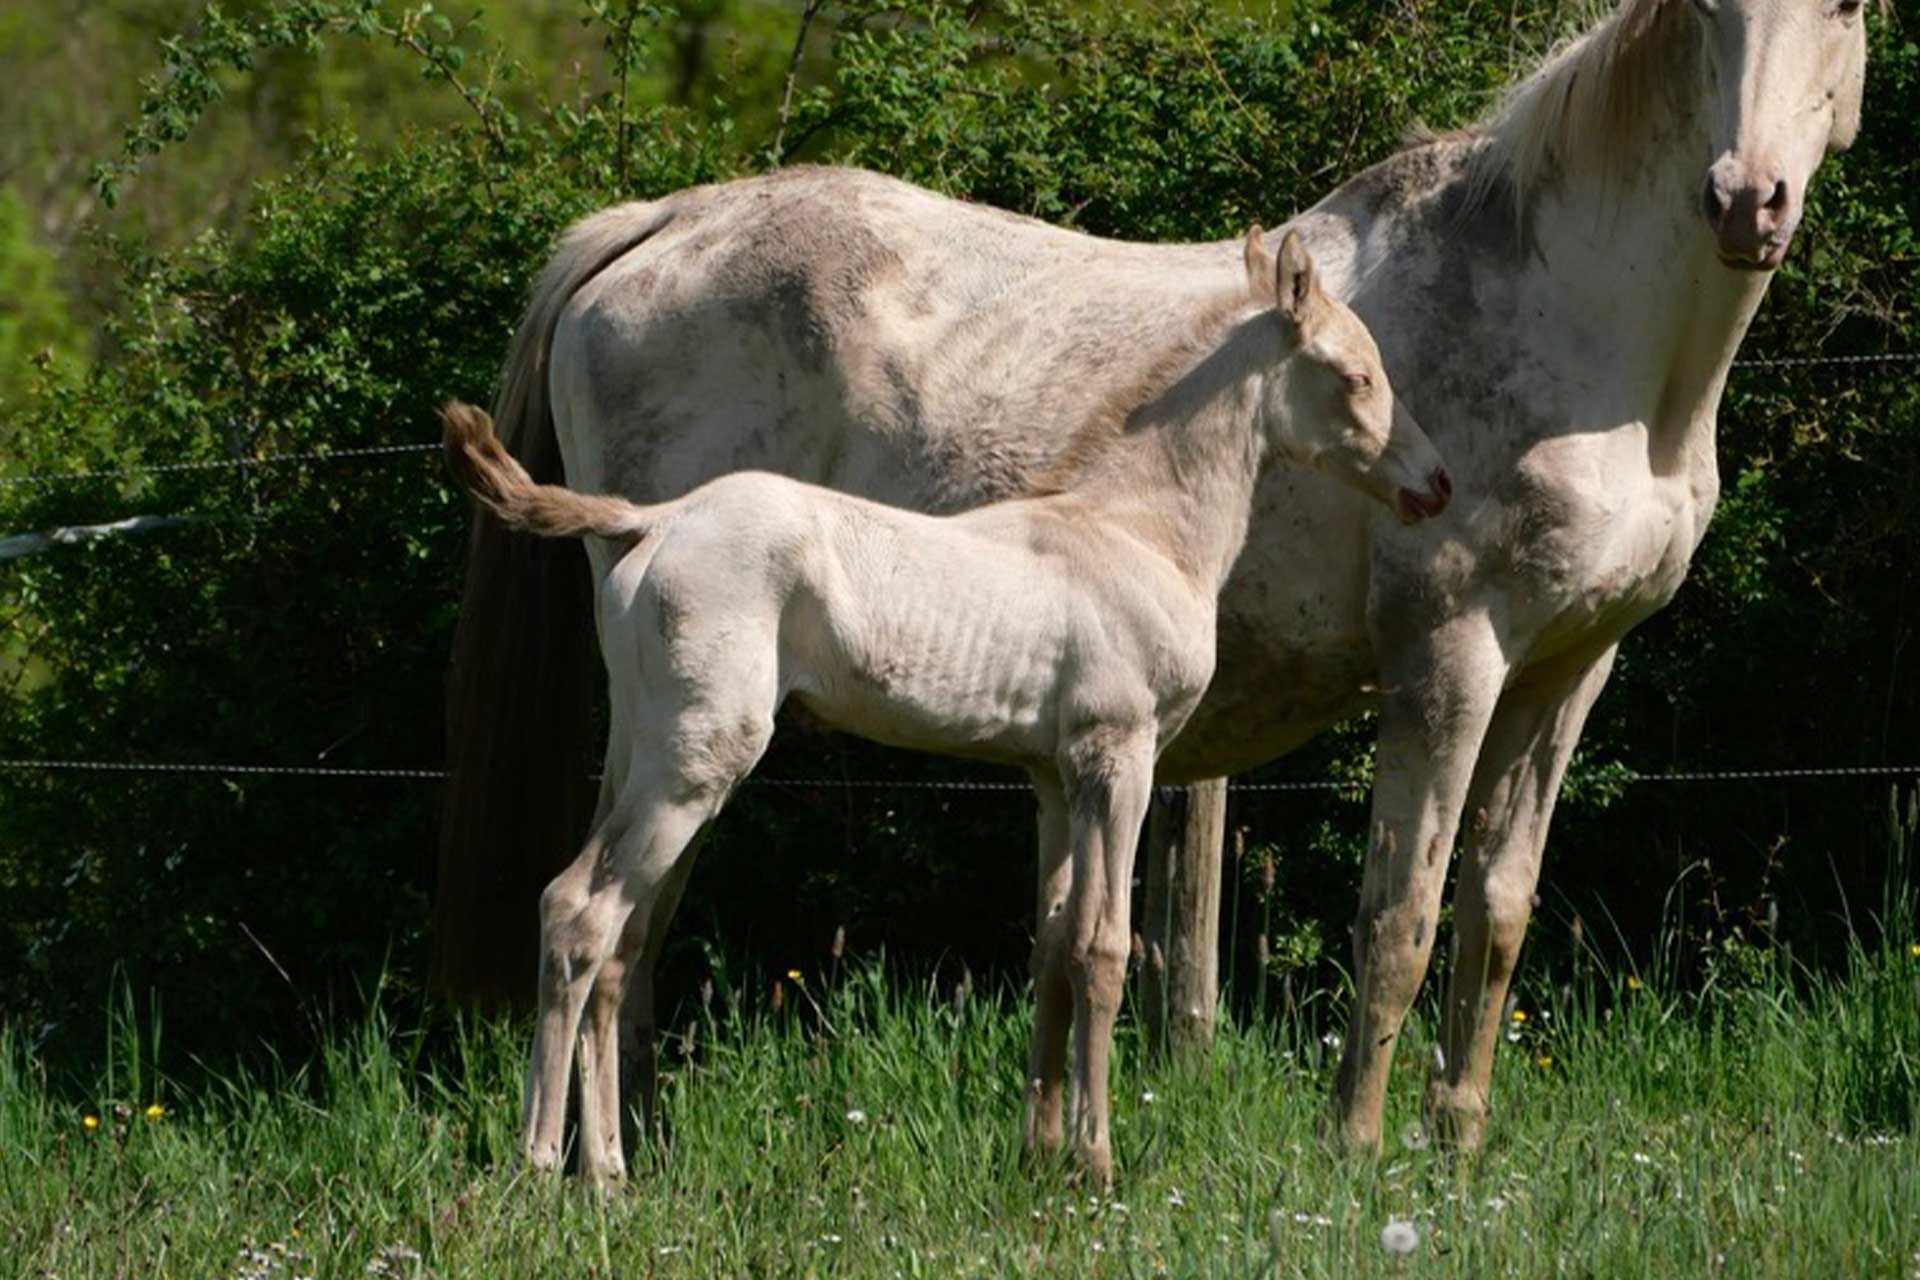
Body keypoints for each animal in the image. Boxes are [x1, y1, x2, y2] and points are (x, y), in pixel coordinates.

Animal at [445, 233, 1443, 1189]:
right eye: (1356, 375)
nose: (1433, 487)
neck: (1137, 530)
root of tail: (648, 522)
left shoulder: (1053, 777)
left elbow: (1054, 945)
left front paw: (1042, 1155)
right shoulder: (1119, 758)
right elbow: (1105, 949)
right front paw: (1096, 1162)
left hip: (645, 743)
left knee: (620, 941)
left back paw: (610, 1174)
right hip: (695, 761)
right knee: (578, 910)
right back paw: (541, 1165)